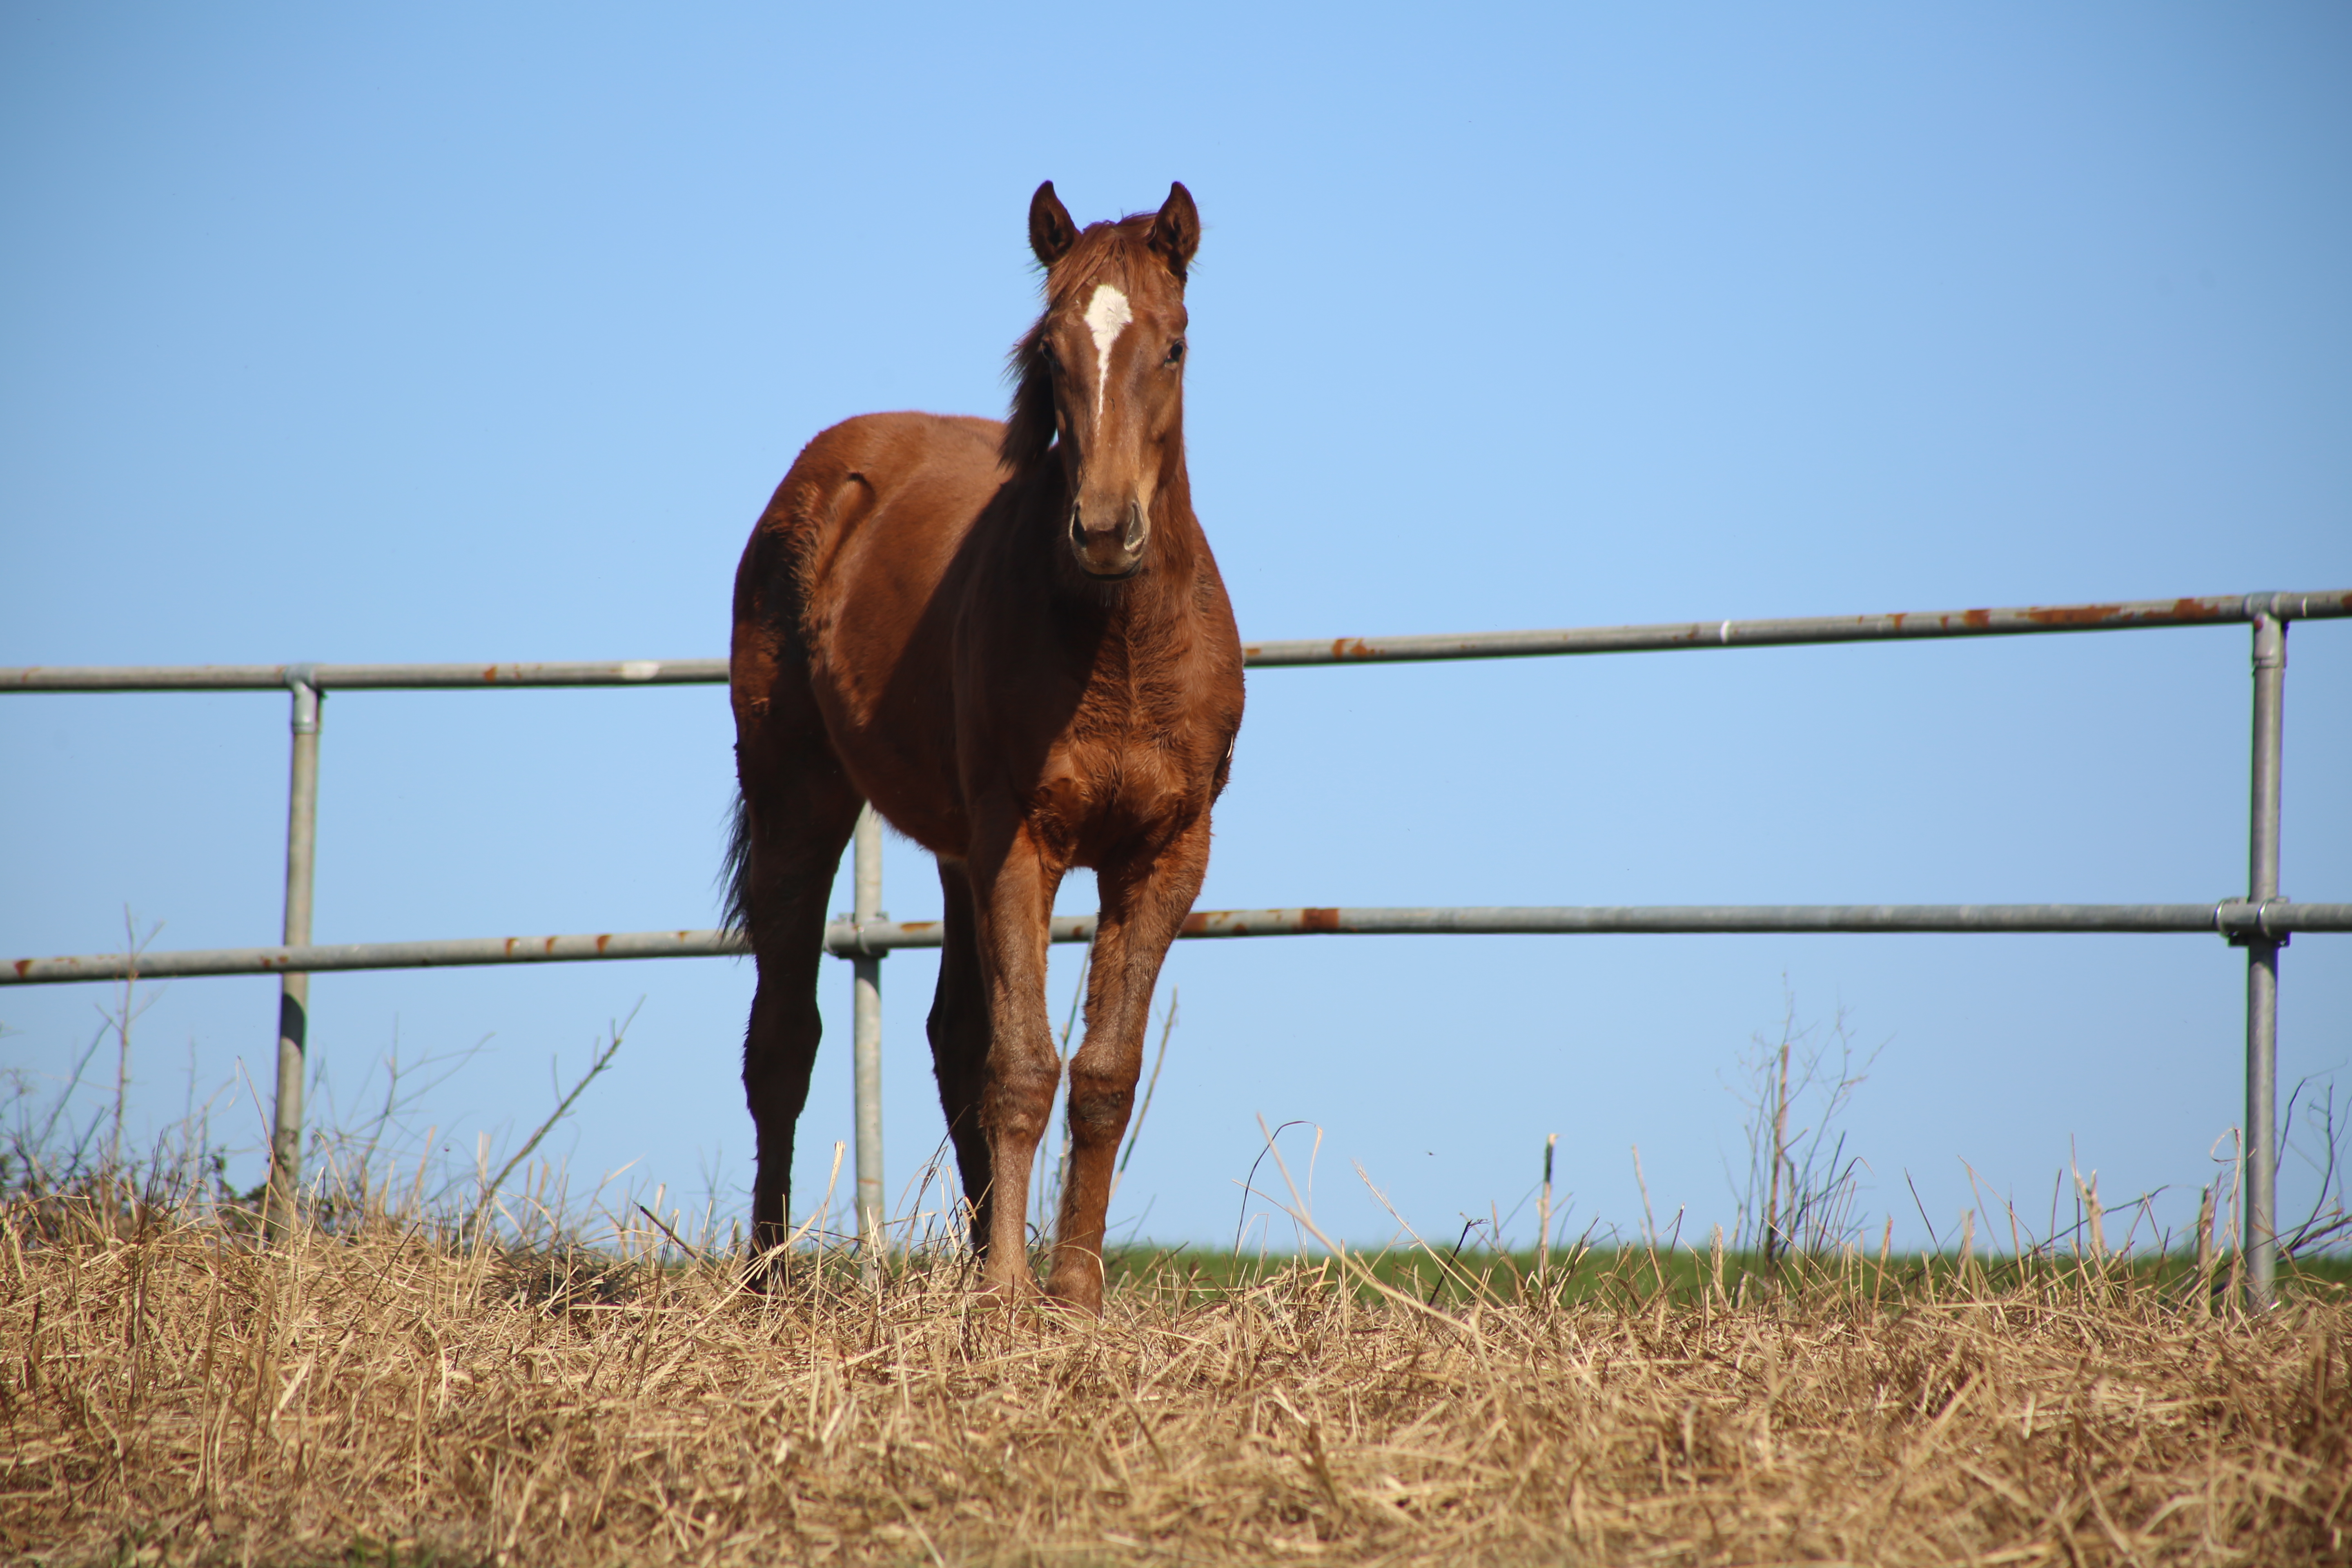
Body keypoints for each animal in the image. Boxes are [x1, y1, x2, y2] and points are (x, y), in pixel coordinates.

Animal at [724, 184, 1251, 1316]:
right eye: (1051, 351)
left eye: (1175, 345)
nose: (1105, 530)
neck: (1118, 646)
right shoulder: (1024, 841)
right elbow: (1023, 1066)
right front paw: (1012, 1294)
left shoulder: (1165, 856)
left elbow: (1100, 1073)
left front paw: (1074, 1293)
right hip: (800, 799)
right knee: (782, 1041)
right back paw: (766, 1278)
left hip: (955, 852)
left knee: (950, 1039)